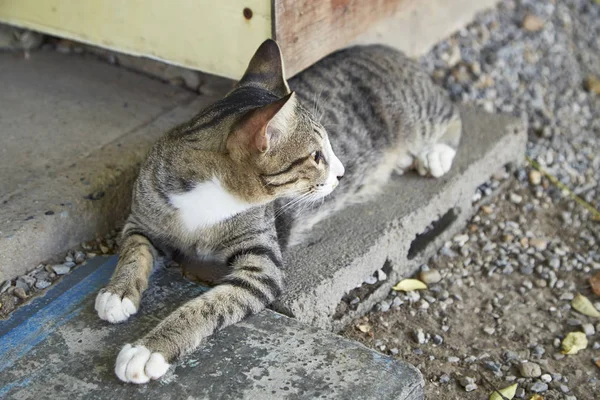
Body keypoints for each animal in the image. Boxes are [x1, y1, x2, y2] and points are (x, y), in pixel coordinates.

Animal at [94, 39, 462, 382]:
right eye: (316, 156)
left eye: (326, 150)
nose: (342, 172)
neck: (206, 195)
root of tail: (383, 47)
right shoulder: (142, 217)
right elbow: (134, 251)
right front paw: (118, 293)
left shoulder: (261, 267)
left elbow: (206, 307)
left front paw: (149, 349)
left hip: (413, 112)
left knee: (451, 113)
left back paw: (436, 153)